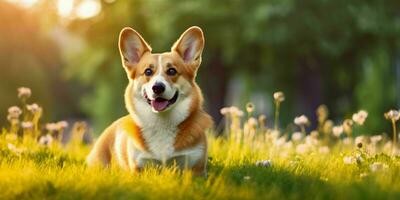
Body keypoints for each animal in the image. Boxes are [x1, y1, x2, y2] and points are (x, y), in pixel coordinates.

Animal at [86, 25, 214, 177]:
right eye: (148, 72)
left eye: (172, 71)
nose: (157, 87)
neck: (162, 123)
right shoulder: (139, 166)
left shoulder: (196, 167)